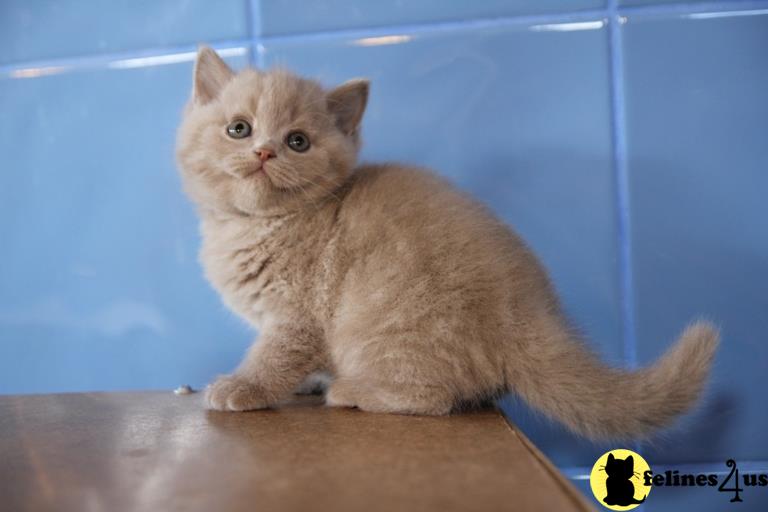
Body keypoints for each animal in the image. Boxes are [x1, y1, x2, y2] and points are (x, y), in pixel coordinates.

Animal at [176, 49, 720, 440]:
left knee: (433, 399)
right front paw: (307, 380)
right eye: (238, 129)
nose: (264, 152)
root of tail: (532, 313)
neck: (254, 225)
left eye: (298, 142)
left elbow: (274, 356)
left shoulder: (297, 316)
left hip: (387, 324)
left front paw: (243, 386)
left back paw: (353, 390)